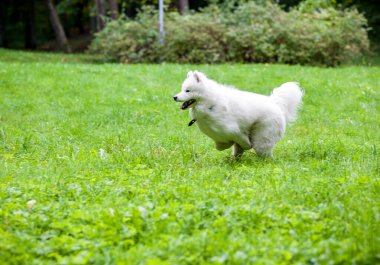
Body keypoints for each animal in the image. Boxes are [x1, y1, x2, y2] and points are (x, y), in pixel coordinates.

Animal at [173, 70, 302, 157]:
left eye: (187, 91)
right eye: (182, 89)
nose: (174, 97)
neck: (210, 104)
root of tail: (275, 103)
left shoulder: (234, 130)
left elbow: (243, 141)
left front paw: (246, 145)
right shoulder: (220, 136)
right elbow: (220, 146)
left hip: (262, 139)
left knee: (264, 152)